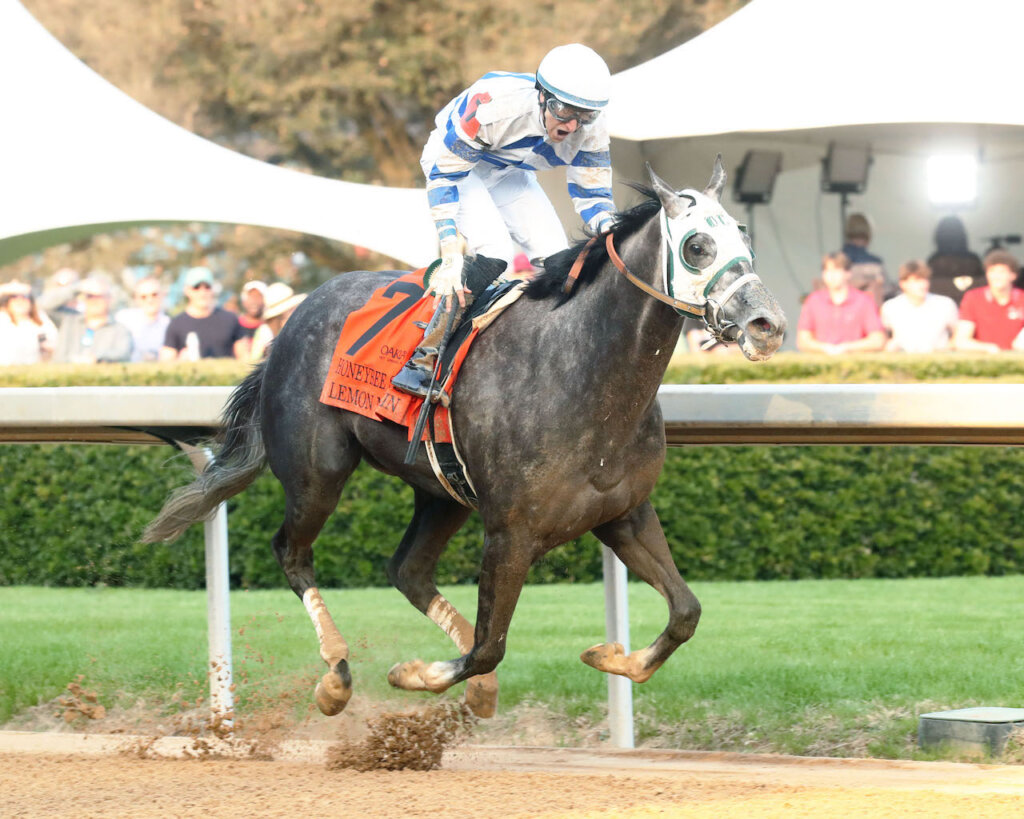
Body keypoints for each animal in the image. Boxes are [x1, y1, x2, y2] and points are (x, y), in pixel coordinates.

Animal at [142, 158, 782, 716]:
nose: (766, 324)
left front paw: (610, 656)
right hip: (317, 472)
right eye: (697, 246)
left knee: (407, 569)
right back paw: (336, 677)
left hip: (439, 489)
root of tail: (293, 318)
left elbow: (686, 612)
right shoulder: (510, 533)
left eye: (744, 235)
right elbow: (486, 645)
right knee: (292, 552)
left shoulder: (623, 514)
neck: (581, 370)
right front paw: (414, 673)